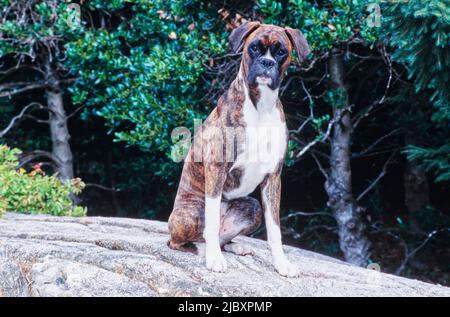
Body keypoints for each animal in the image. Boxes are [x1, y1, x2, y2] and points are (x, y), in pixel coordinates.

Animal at [167, 21, 312, 276]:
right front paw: (214, 259)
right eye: (254, 48)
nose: (267, 63)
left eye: (281, 52)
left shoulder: (273, 178)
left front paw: (282, 263)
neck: (261, 106)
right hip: (191, 214)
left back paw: (236, 247)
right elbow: (212, 222)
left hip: (252, 206)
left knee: (223, 237)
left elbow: (275, 230)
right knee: (185, 240)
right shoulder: (217, 167)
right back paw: (203, 250)